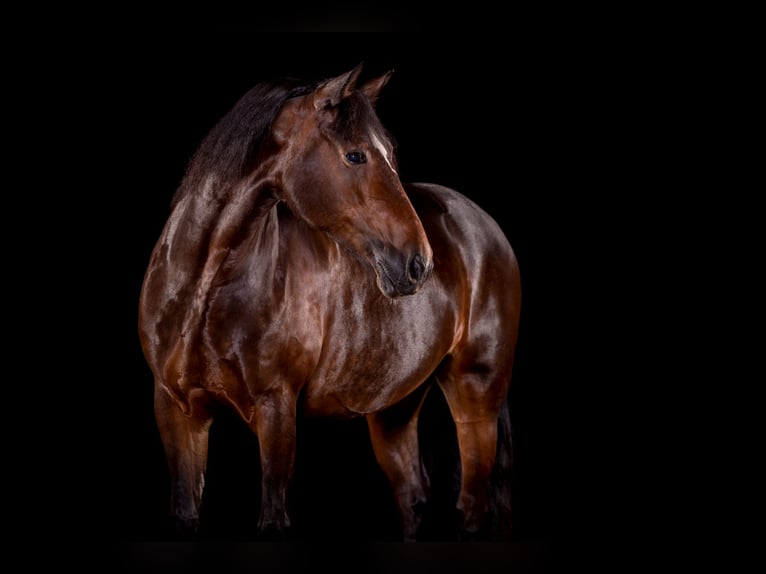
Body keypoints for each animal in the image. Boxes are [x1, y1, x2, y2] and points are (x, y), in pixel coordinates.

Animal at [138, 63, 521, 542]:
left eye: (390, 154)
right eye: (356, 156)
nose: (419, 264)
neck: (201, 292)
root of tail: (484, 226)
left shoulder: (277, 410)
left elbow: (274, 515)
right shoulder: (176, 412)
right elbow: (184, 512)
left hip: (476, 393)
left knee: (472, 502)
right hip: (395, 408)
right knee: (414, 494)